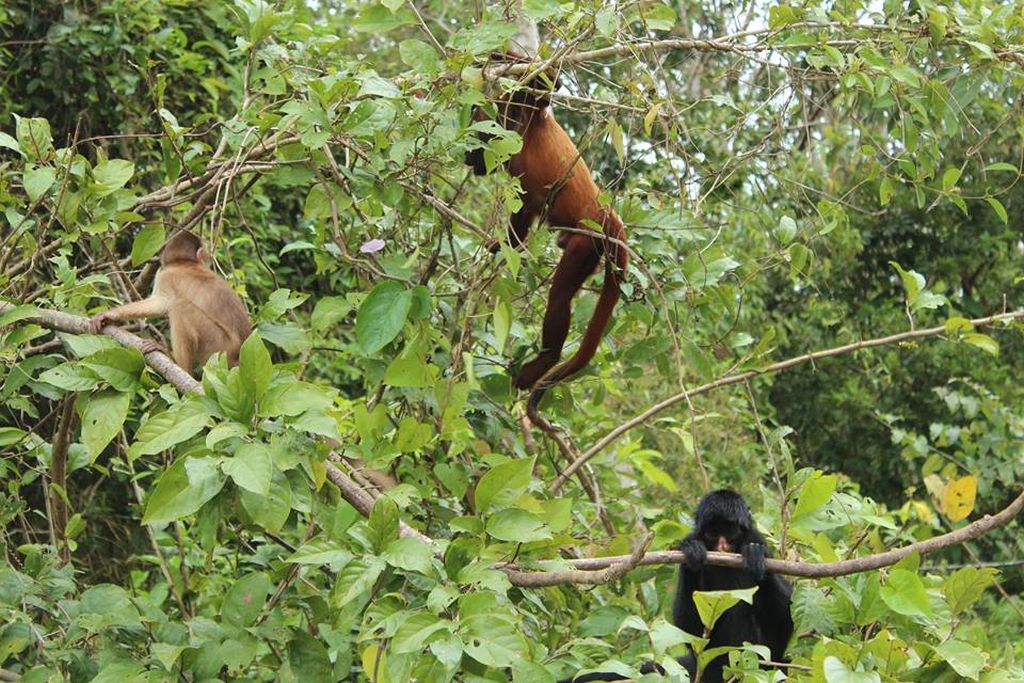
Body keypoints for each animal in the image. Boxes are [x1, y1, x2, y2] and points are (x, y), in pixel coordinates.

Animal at [91, 232, 252, 376]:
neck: (184, 263)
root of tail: (238, 356)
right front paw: (110, 317)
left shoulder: (164, 275)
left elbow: (159, 303)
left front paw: (112, 315)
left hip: (218, 349)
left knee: (180, 306)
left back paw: (180, 366)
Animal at [468, 54, 626, 411]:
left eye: (471, 148)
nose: (468, 161)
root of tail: (609, 217)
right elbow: (523, 213)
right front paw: (500, 246)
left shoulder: (521, 109)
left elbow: (547, 86)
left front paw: (501, 59)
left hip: (587, 243)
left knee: (560, 296)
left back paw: (544, 361)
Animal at [561, 489, 790, 679]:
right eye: (712, 534)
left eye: (731, 532)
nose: (722, 547)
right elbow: (691, 631)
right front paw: (693, 554)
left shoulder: (757, 537)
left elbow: (783, 627)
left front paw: (755, 555)